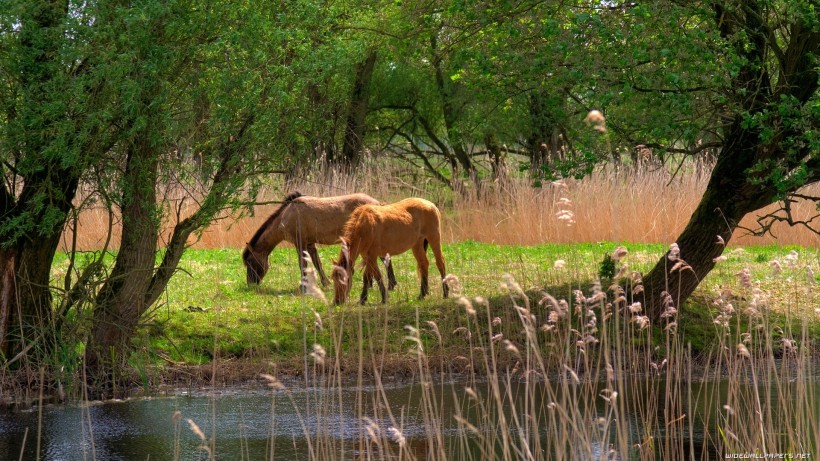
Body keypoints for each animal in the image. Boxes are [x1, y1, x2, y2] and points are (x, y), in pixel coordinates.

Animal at [242, 192, 396, 290]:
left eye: (249, 262)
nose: (250, 284)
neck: (288, 215)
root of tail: (378, 203)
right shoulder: (310, 244)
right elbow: (317, 263)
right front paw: (325, 283)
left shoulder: (300, 243)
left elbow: (303, 264)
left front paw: (303, 286)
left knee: (384, 258)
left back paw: (390, 284)